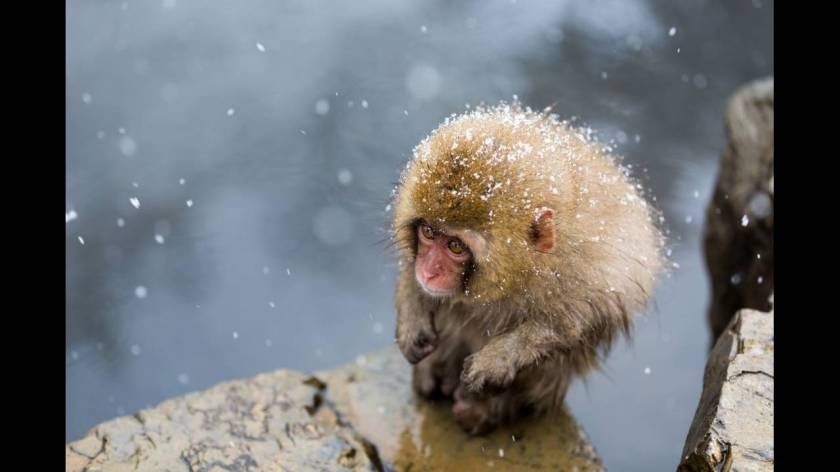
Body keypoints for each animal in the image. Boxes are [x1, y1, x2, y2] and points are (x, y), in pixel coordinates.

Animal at [390, 102, 668, 436]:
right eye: (429, 233)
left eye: (456, 247)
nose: (429, 271)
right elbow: (410, 272)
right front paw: (412, 321)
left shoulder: (592, 270)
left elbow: (580, 321)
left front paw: (500, 358)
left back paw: (488, 408)